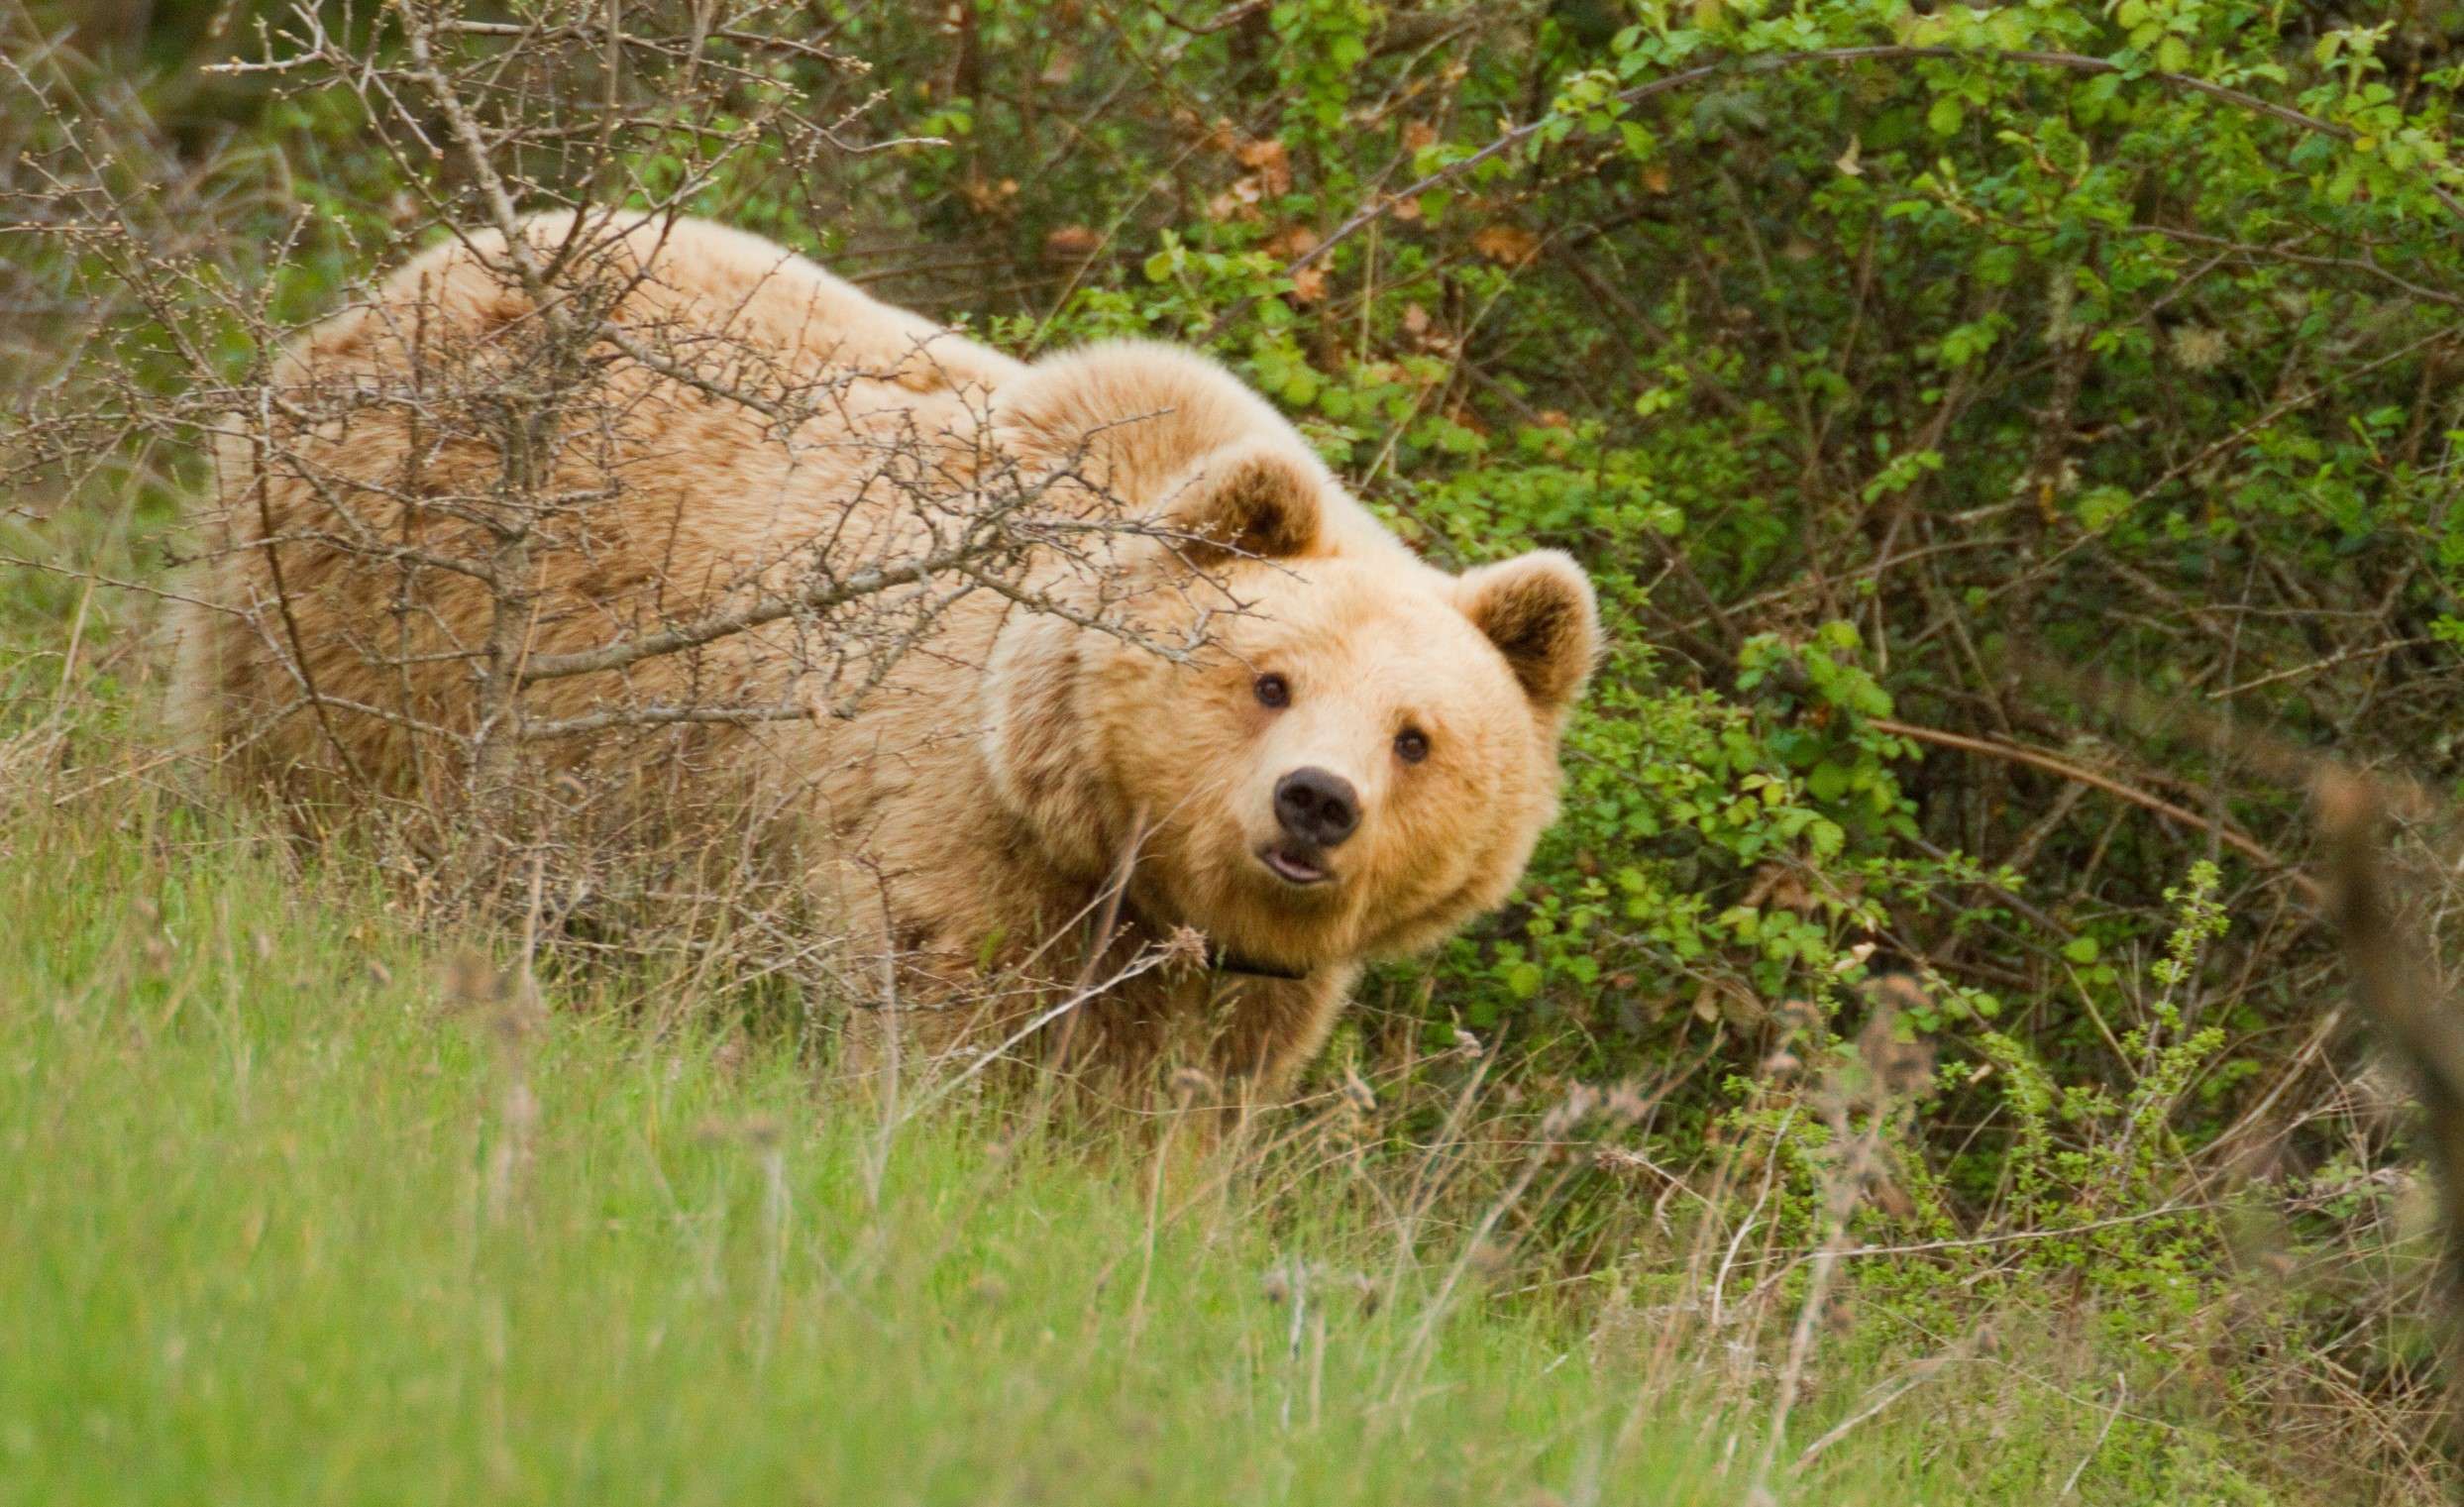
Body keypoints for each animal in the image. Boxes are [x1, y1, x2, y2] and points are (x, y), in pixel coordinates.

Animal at [173, 215, 1596, 1093]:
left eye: (1417, 737)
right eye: (1268, 680)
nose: (1314, 803)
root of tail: (413, 276)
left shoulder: (1246, 982)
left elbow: (1169, 1105)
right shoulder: (950, 818)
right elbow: (946, 1005)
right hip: (379, 603)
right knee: (325, 798)